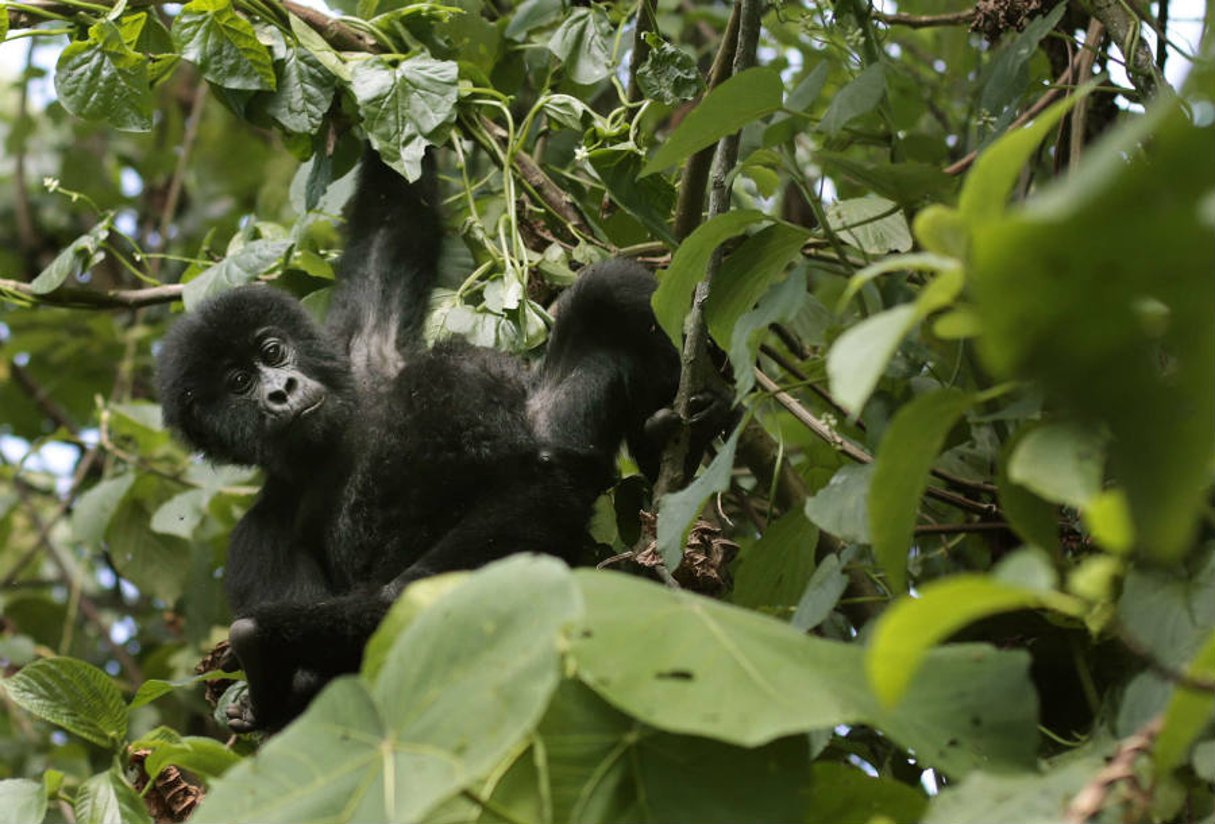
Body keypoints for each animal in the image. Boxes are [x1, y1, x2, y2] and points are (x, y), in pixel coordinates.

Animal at [156, 151, 699, 734]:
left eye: (273, 352)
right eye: (238, 383)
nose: (281, 391)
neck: (331, 446)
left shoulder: (365, 348)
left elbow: (391, 220)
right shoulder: (257, 538)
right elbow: (321, 697)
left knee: (605, 295)